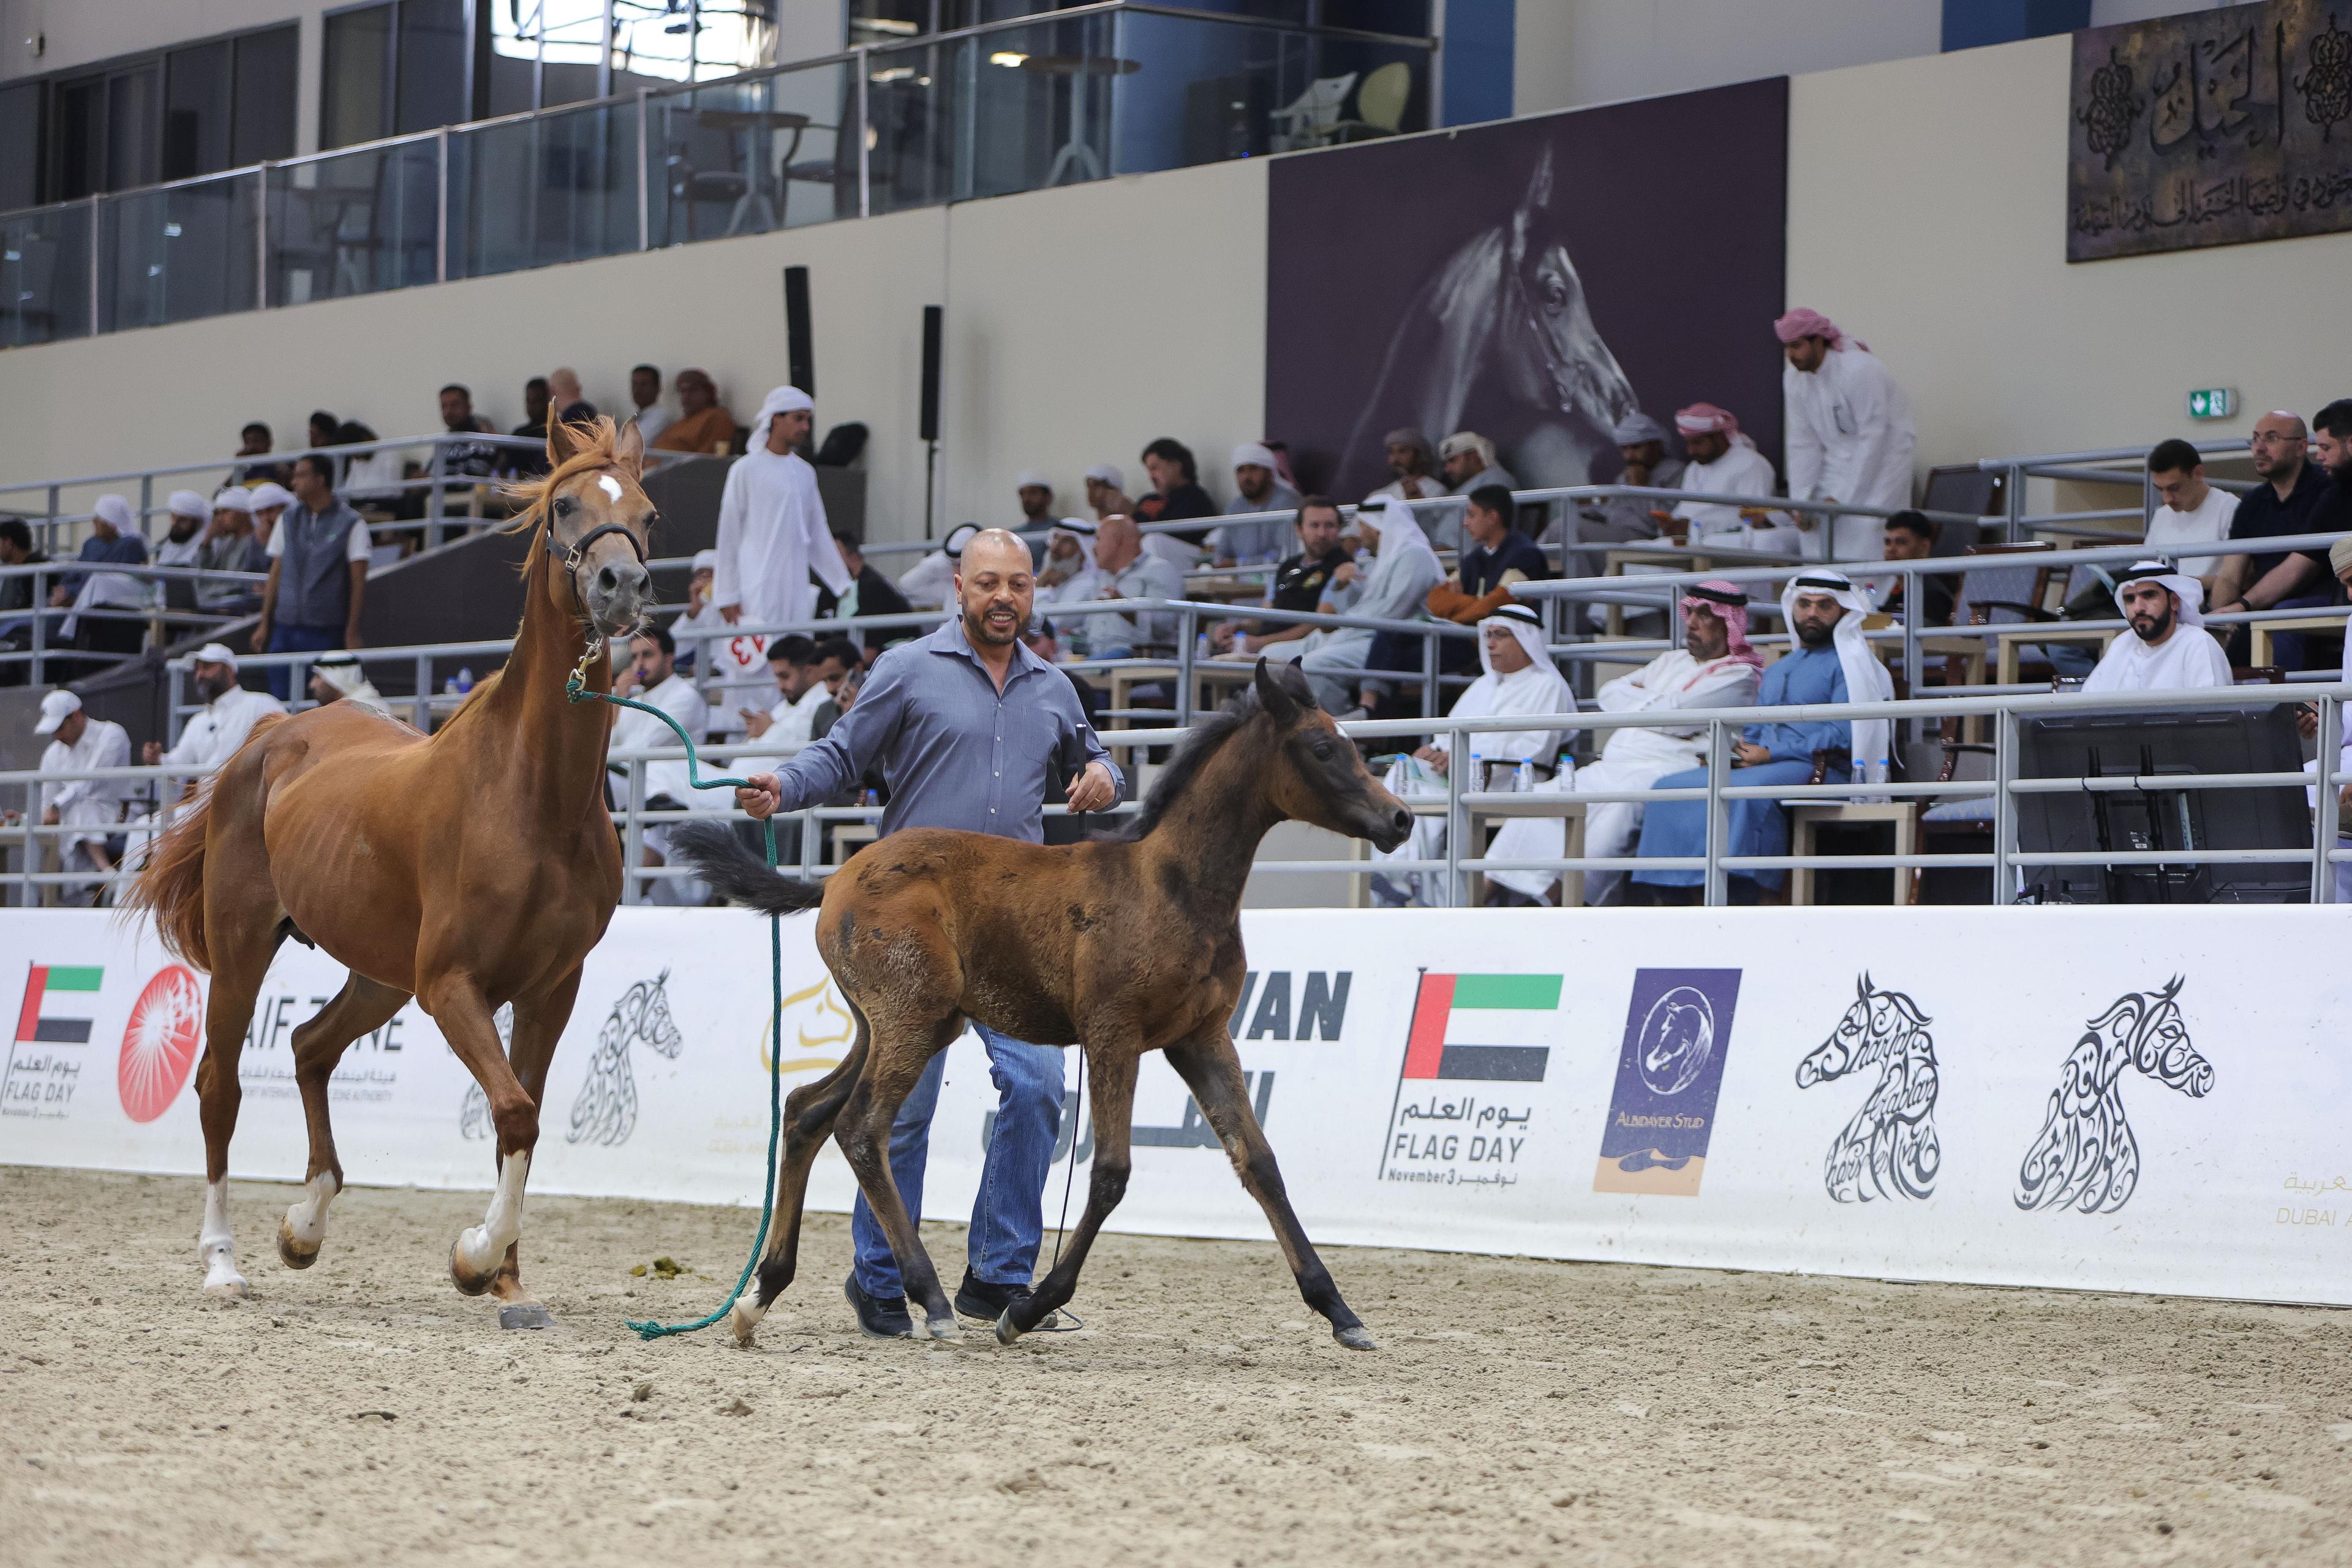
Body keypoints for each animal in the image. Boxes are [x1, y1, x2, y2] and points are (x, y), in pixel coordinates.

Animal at [124, 417, 655, 1327]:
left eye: (648, 512)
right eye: (565, 505)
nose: (620, 584)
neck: (533, 798)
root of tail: (267, 738)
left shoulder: (552, 988)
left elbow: (523, 1122)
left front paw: (510, 1279)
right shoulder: (451, 984)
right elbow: (514, 1112)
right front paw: (475, 1259)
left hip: (379, 977)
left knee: (308, 1047)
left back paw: (304, 1227)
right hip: (244, 951)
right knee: (220, 1086)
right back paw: (223, 1263)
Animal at [669, 659, 1413, 1351]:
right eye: (1322, 748)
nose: (1400, 818)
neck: (1171, 887)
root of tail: (837, 878)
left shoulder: (1201, 1036)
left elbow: (1259, 1161)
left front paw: (1340, 1310)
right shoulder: (1115, 1033)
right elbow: (1110, 1173)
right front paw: (1026, 1309)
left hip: (898, 1024)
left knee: (806, 1112)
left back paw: (759, 1295)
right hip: (910, 1017)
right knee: (862, 1127)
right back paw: (928, 1301)